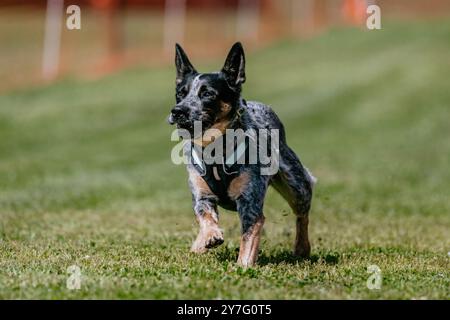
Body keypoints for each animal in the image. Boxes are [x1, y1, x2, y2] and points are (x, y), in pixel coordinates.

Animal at [166, 42, 316, 268]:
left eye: (207, 93)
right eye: (180, 93)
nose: (177, 111)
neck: (215, 150)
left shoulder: (249, 201)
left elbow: (248, 237)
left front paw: (243, 266)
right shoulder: (201, 194)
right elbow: (204, 215)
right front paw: (210, 236)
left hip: (295, 184)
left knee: (302, 213)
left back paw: (302, 247)